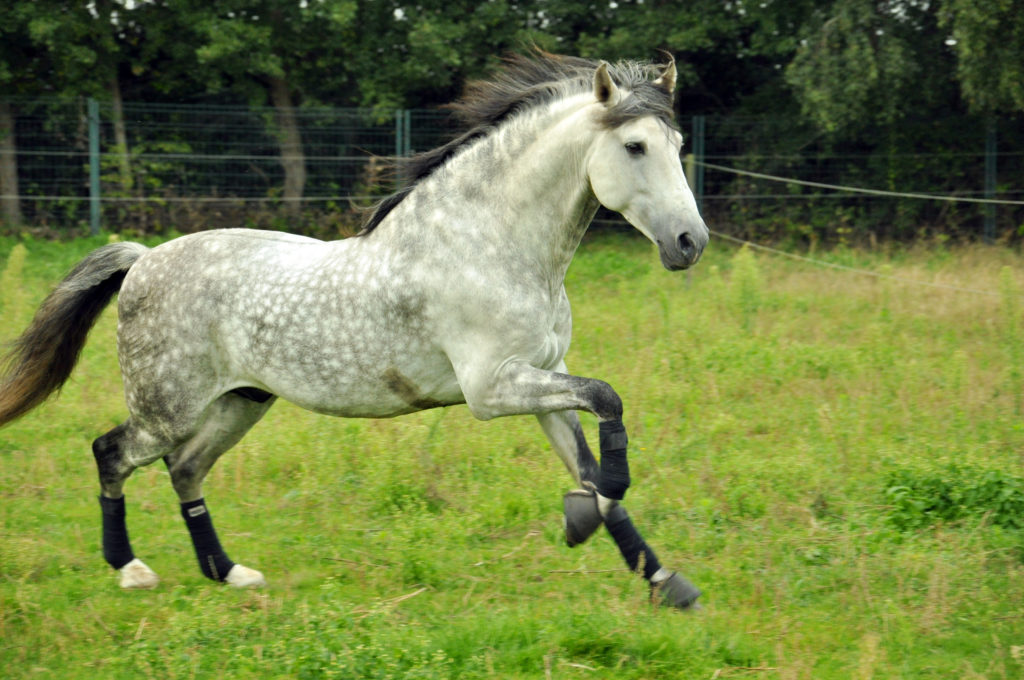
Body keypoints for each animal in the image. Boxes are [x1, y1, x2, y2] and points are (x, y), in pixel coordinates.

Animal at [0, 50, 708, 606]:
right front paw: (582, 522)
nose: (690, 243)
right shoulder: (493, 388)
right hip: (165, 408)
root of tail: (142, 259)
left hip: (240, 401)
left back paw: (229, 573)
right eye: (634, 146)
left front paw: (663, 581)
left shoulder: (544, 378)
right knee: (112, 454)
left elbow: (593, 464)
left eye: (677, 147)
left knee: (186, 470)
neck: (490, 245)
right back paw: (131, 570)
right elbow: (608, 412)